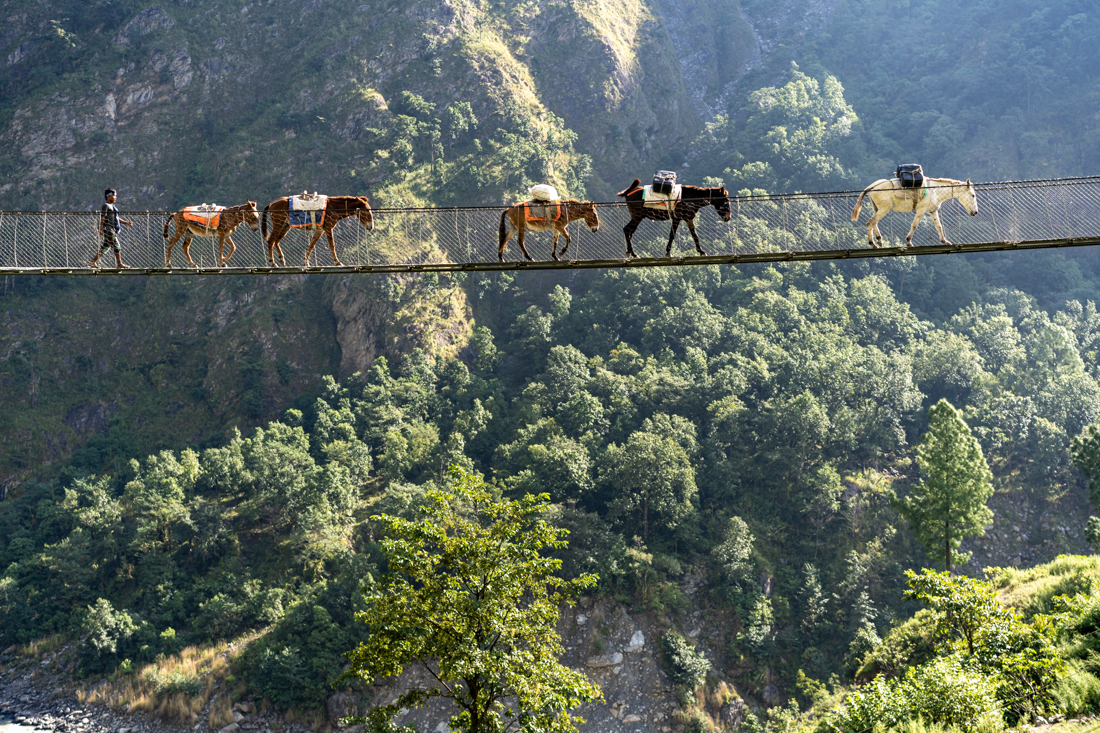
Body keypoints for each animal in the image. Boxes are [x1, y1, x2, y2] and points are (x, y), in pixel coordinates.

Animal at [849, 177, 981, 248]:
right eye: (973, 195)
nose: (975, 212)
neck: (935, 191)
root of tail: (873, 186)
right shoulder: (921, 210)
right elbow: (914, 225)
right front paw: (909, 242)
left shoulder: (932, 211)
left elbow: (939, 226)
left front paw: (945, 241)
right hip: (884, 209)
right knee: (870, 222)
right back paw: (873, 243)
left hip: (878, 208)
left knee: (873, 222)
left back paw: (879, 240)